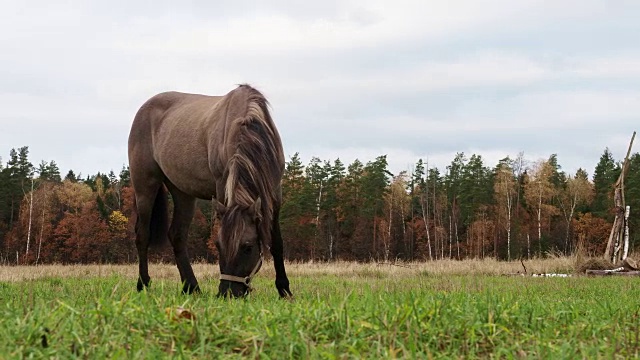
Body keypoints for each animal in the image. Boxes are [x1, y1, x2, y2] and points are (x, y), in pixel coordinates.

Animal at [127, 84, 292, 298]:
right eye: (218, 246)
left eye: (247, 247)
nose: (228, 292)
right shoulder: (222, 185)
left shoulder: (274, 192)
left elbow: (277, 242)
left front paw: (284, 289)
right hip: (145, 186)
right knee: (143, 235)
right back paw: (143, 284)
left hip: (183, 193)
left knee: (177, 235)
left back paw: (191, 287)